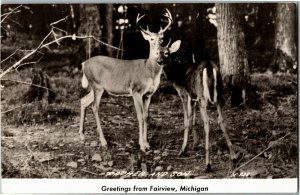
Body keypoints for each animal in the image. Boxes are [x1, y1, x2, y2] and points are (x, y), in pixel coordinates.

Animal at [78, 8, 180, 152]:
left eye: (161, 39)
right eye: (151, 39)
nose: (159, 53)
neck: (148, 71)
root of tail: (84, 64)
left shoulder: (148, 94)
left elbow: (146, 116)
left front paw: (147, 143)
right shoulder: (136, 91)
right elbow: (139, 116)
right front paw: (142, 145)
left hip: (96, 87)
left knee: (83, 101)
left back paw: (82, 136)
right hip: (97, 85)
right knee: (95, 107)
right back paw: (103, 141)